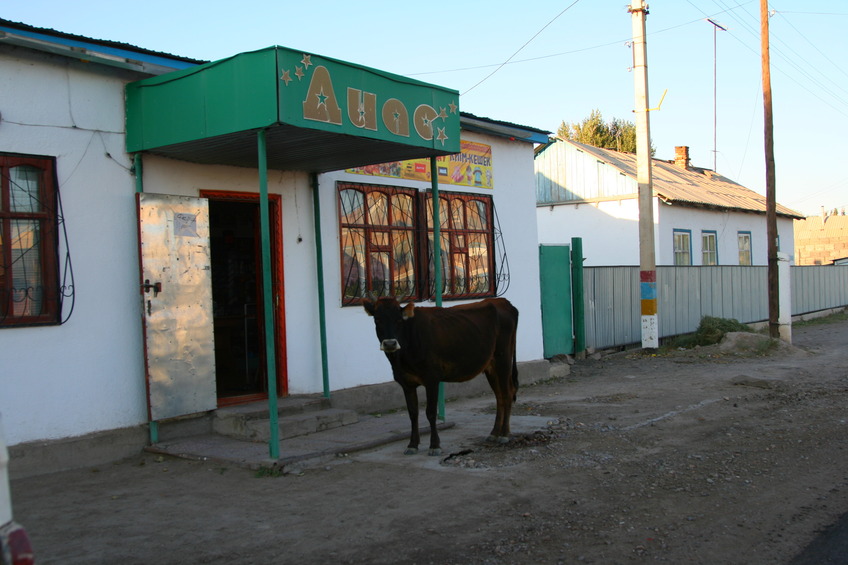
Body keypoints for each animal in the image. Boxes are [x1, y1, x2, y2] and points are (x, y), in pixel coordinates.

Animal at [360, 298, 516, 456]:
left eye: (398, 320)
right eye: (377, 320)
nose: (390, 343)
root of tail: (501, 301)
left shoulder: (432, 379)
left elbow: (430, 412)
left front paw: (435, 446)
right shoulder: (406, 382)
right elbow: (413, 413)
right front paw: (412, 444)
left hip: (503, 360)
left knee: (507, 394)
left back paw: (504, 435)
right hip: (491, 367)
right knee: (499, 397)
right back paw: (494, 433)